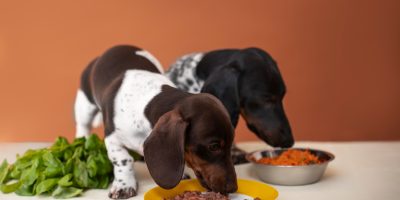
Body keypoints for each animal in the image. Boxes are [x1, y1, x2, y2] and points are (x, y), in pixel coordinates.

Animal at [74, 45, 238, 198]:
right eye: (213, 146)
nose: (233, 188)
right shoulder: (112, 138)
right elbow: (123, 160)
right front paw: (124, 185)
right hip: (85, 105)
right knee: (83, 126)